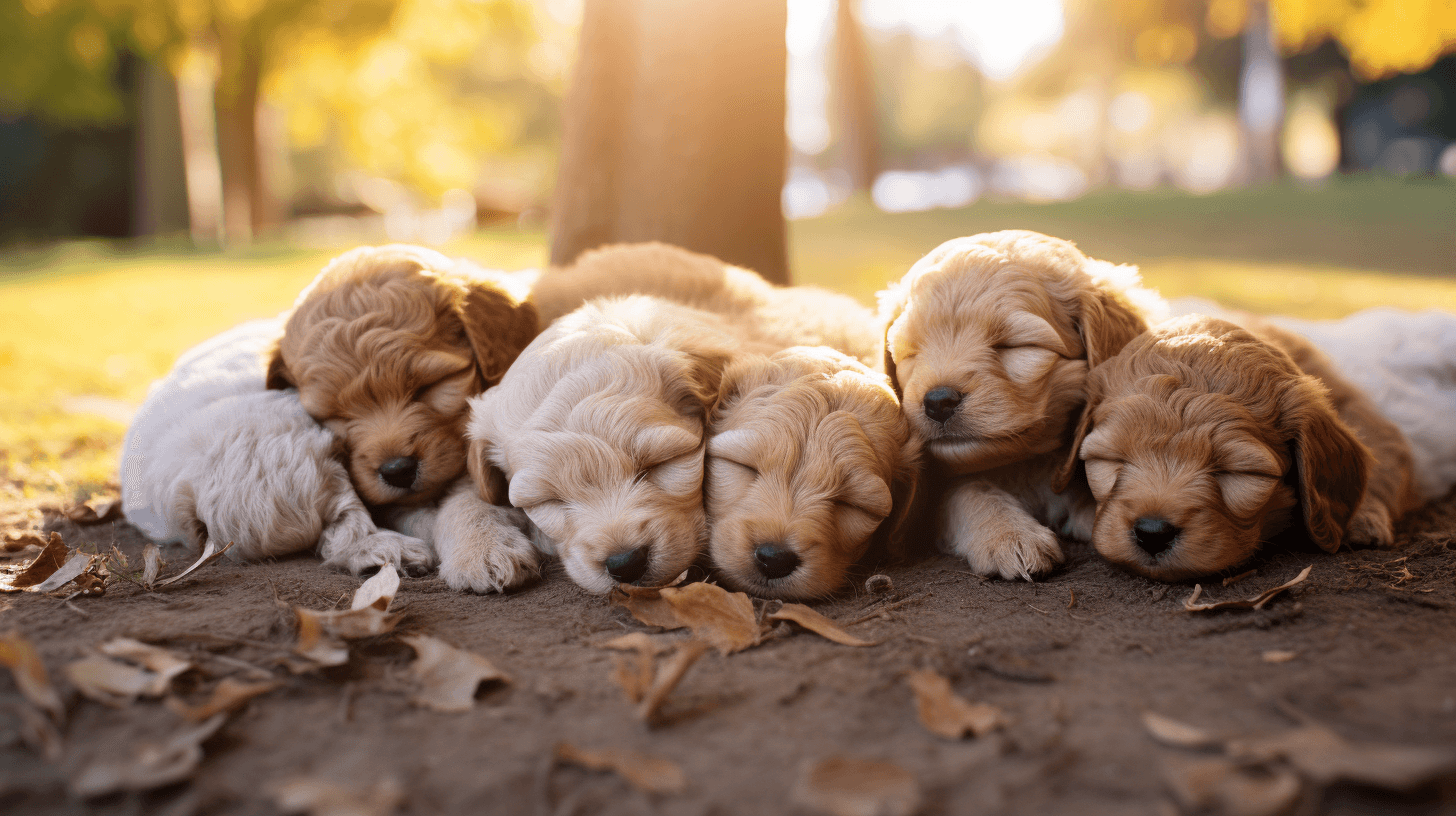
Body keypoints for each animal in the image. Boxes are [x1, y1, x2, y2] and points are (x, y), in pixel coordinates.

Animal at [873, 230, 1170, 579]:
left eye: (1015, 346)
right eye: (912, 353)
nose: (938, 401)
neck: (1024, 465)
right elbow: (970, 490)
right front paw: (1009, 533)